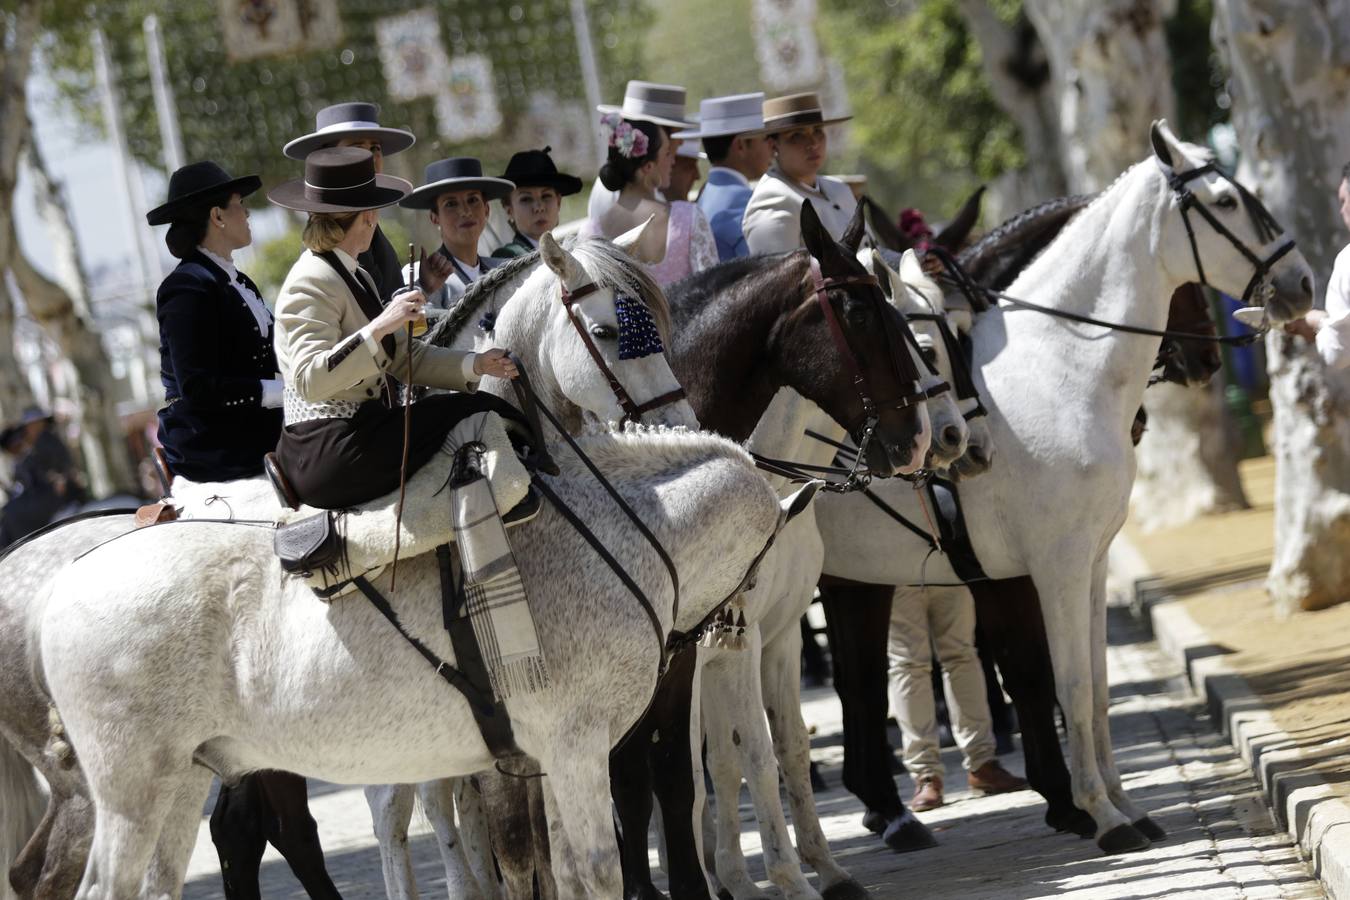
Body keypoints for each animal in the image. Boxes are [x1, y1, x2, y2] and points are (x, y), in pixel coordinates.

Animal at [804, 123, 1312, 858]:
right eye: (1225, 200)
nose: (1300, 283)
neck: (1057, 372)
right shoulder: (1052, 567)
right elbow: (1059, 681)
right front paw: (1099, 813)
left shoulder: (1091, 561)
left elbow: (1093, 686)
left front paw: (1120, 804)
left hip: (850, 582)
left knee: (861, 687)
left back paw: (886, 809)